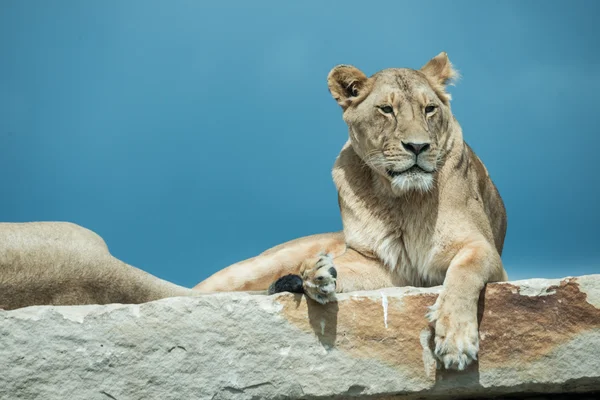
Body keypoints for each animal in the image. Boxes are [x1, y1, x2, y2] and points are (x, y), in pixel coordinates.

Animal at [197, 51, 506, 370]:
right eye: (386, 110)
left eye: (429, 109)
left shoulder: (483, 250)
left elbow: (463, 273)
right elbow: (340, 268)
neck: (402, 198)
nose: (418, 146)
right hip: (259, 265)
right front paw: (316, 274)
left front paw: (456, 340)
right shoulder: (377, 262)